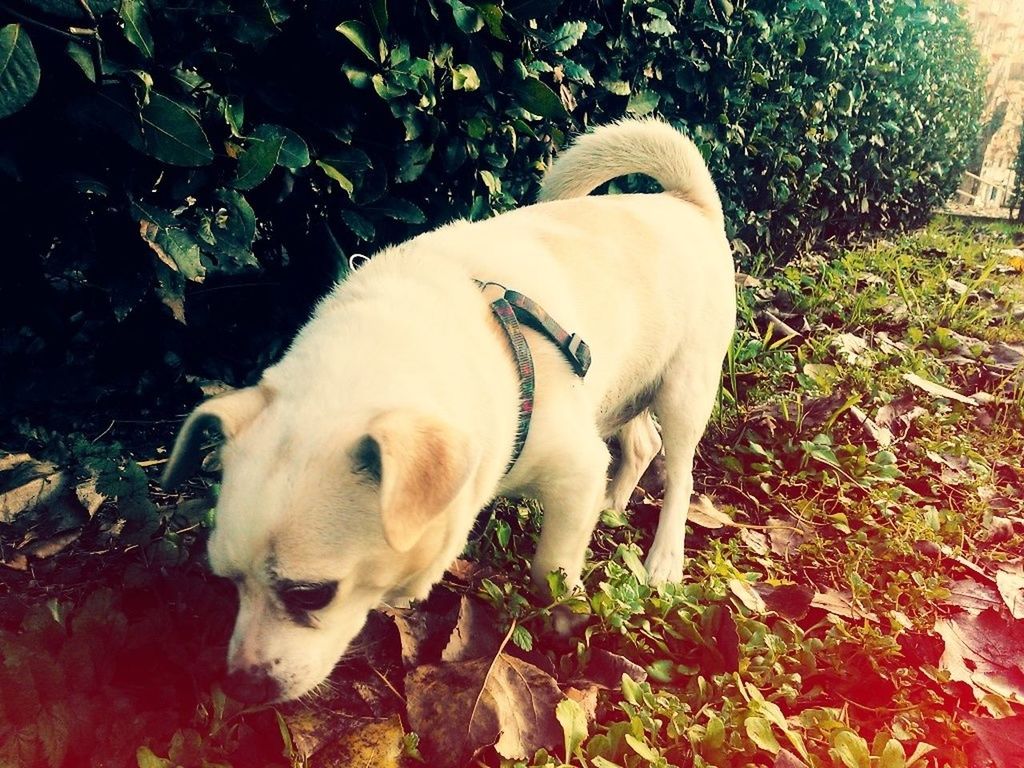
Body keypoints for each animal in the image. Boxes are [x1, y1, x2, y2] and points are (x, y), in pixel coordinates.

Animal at [161, 118, 737, 704]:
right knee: (642, 445)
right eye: (227, 579)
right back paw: (613, 505)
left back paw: (662, 560)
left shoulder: (575, 468)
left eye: (311, 595)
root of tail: (686, 201)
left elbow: (550, 566)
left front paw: (564, 616)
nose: (240, 686)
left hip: (684, 390)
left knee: (680, 471)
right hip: (626, 389)